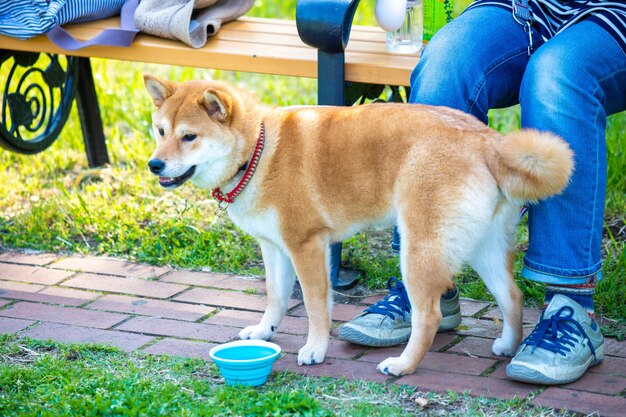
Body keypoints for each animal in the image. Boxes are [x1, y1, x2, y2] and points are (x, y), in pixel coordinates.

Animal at [144, 75, 572, 376]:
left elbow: (315, 306)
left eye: (189, 137)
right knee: (512, 296)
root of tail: (487, 141)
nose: (154, 164)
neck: (259, 151)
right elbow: (276, 297)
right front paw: (265, 331)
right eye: (160, 131)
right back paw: (509, 345)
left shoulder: (307, 246)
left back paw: (403, 365)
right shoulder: (275, 247)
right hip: (482, 248)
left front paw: (316, 349)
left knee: (429, 316)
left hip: (419, 249)